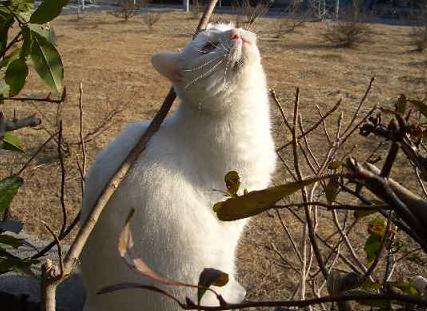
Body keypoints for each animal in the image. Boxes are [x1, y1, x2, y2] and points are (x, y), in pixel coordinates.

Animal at [79, 23, 276, 311]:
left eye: (229, 27)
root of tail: (96, 301)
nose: (236, 34)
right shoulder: (233, 216)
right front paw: (236, 292)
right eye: (208, 47)